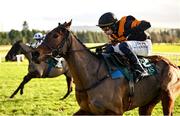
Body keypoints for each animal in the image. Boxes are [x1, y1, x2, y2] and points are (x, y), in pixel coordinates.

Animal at [32, 20, 180, 115]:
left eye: (55, 35)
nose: (34, 53)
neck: (92, 76)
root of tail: (174, 66)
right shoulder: (87, 110)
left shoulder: (115, 112)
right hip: (147, 103)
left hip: (168, 98)